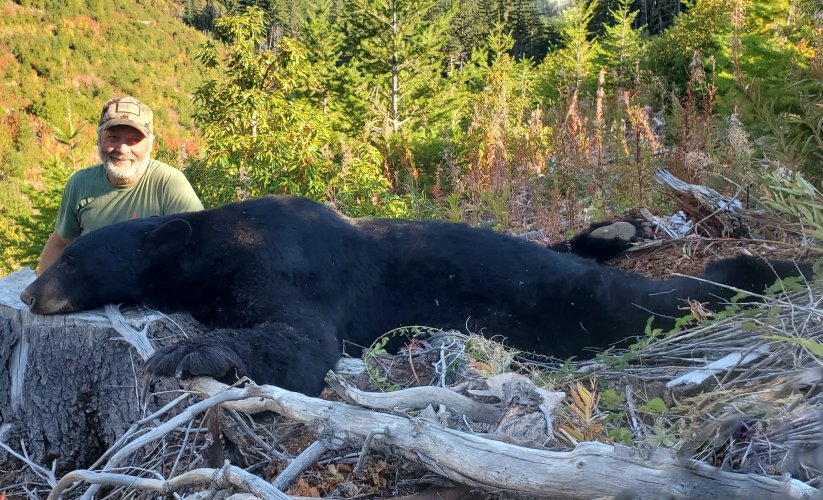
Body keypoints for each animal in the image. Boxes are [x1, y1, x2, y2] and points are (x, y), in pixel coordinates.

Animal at [20, 195, 811, 396]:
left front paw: (189, 355)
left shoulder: (283, 261)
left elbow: (300, 339)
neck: (210, 246)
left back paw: (776, 268)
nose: (29, 294)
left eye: (74, 260)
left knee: (650, 300)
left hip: (570, 303)